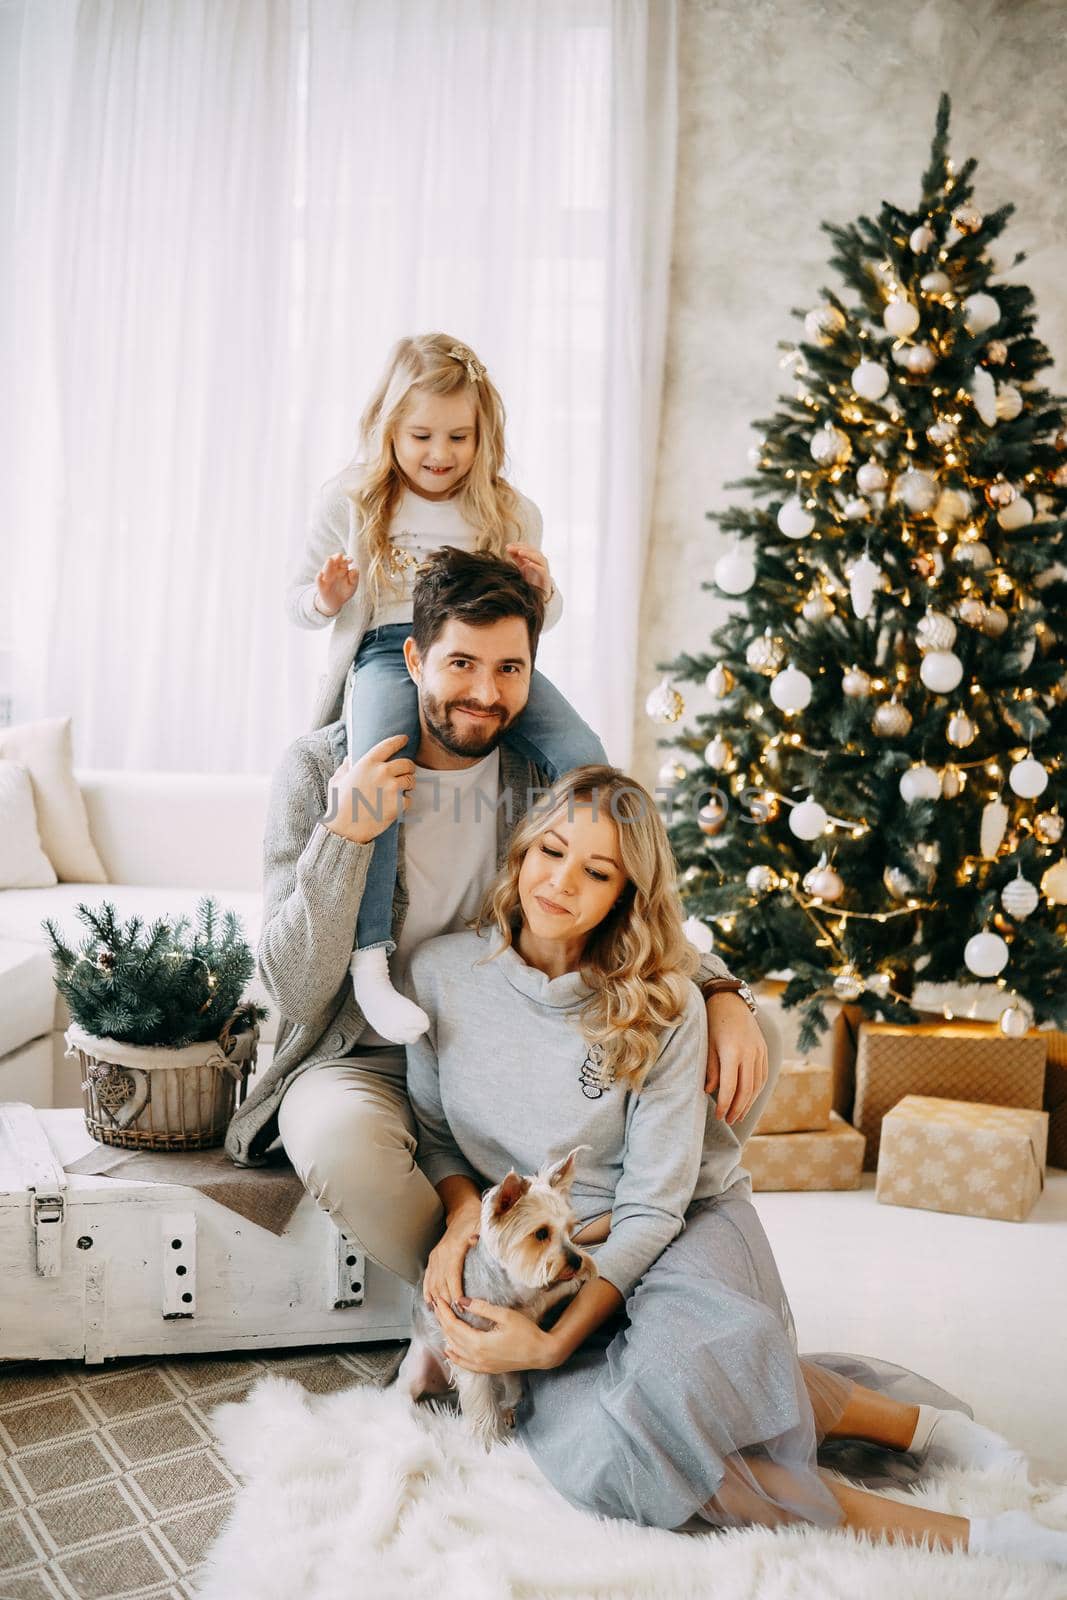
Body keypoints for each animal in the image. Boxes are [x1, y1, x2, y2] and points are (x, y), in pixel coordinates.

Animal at [399, 1145, 601, 1446]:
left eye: (570, 1229)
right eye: (541, 1233)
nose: (577, 1261)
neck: (512, 1288)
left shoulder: (508, 1345)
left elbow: (514, 1386)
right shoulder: (468, 1350)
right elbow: (482, 1402)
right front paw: (487, 1443)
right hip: (418, 1369)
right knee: (404, 1394)